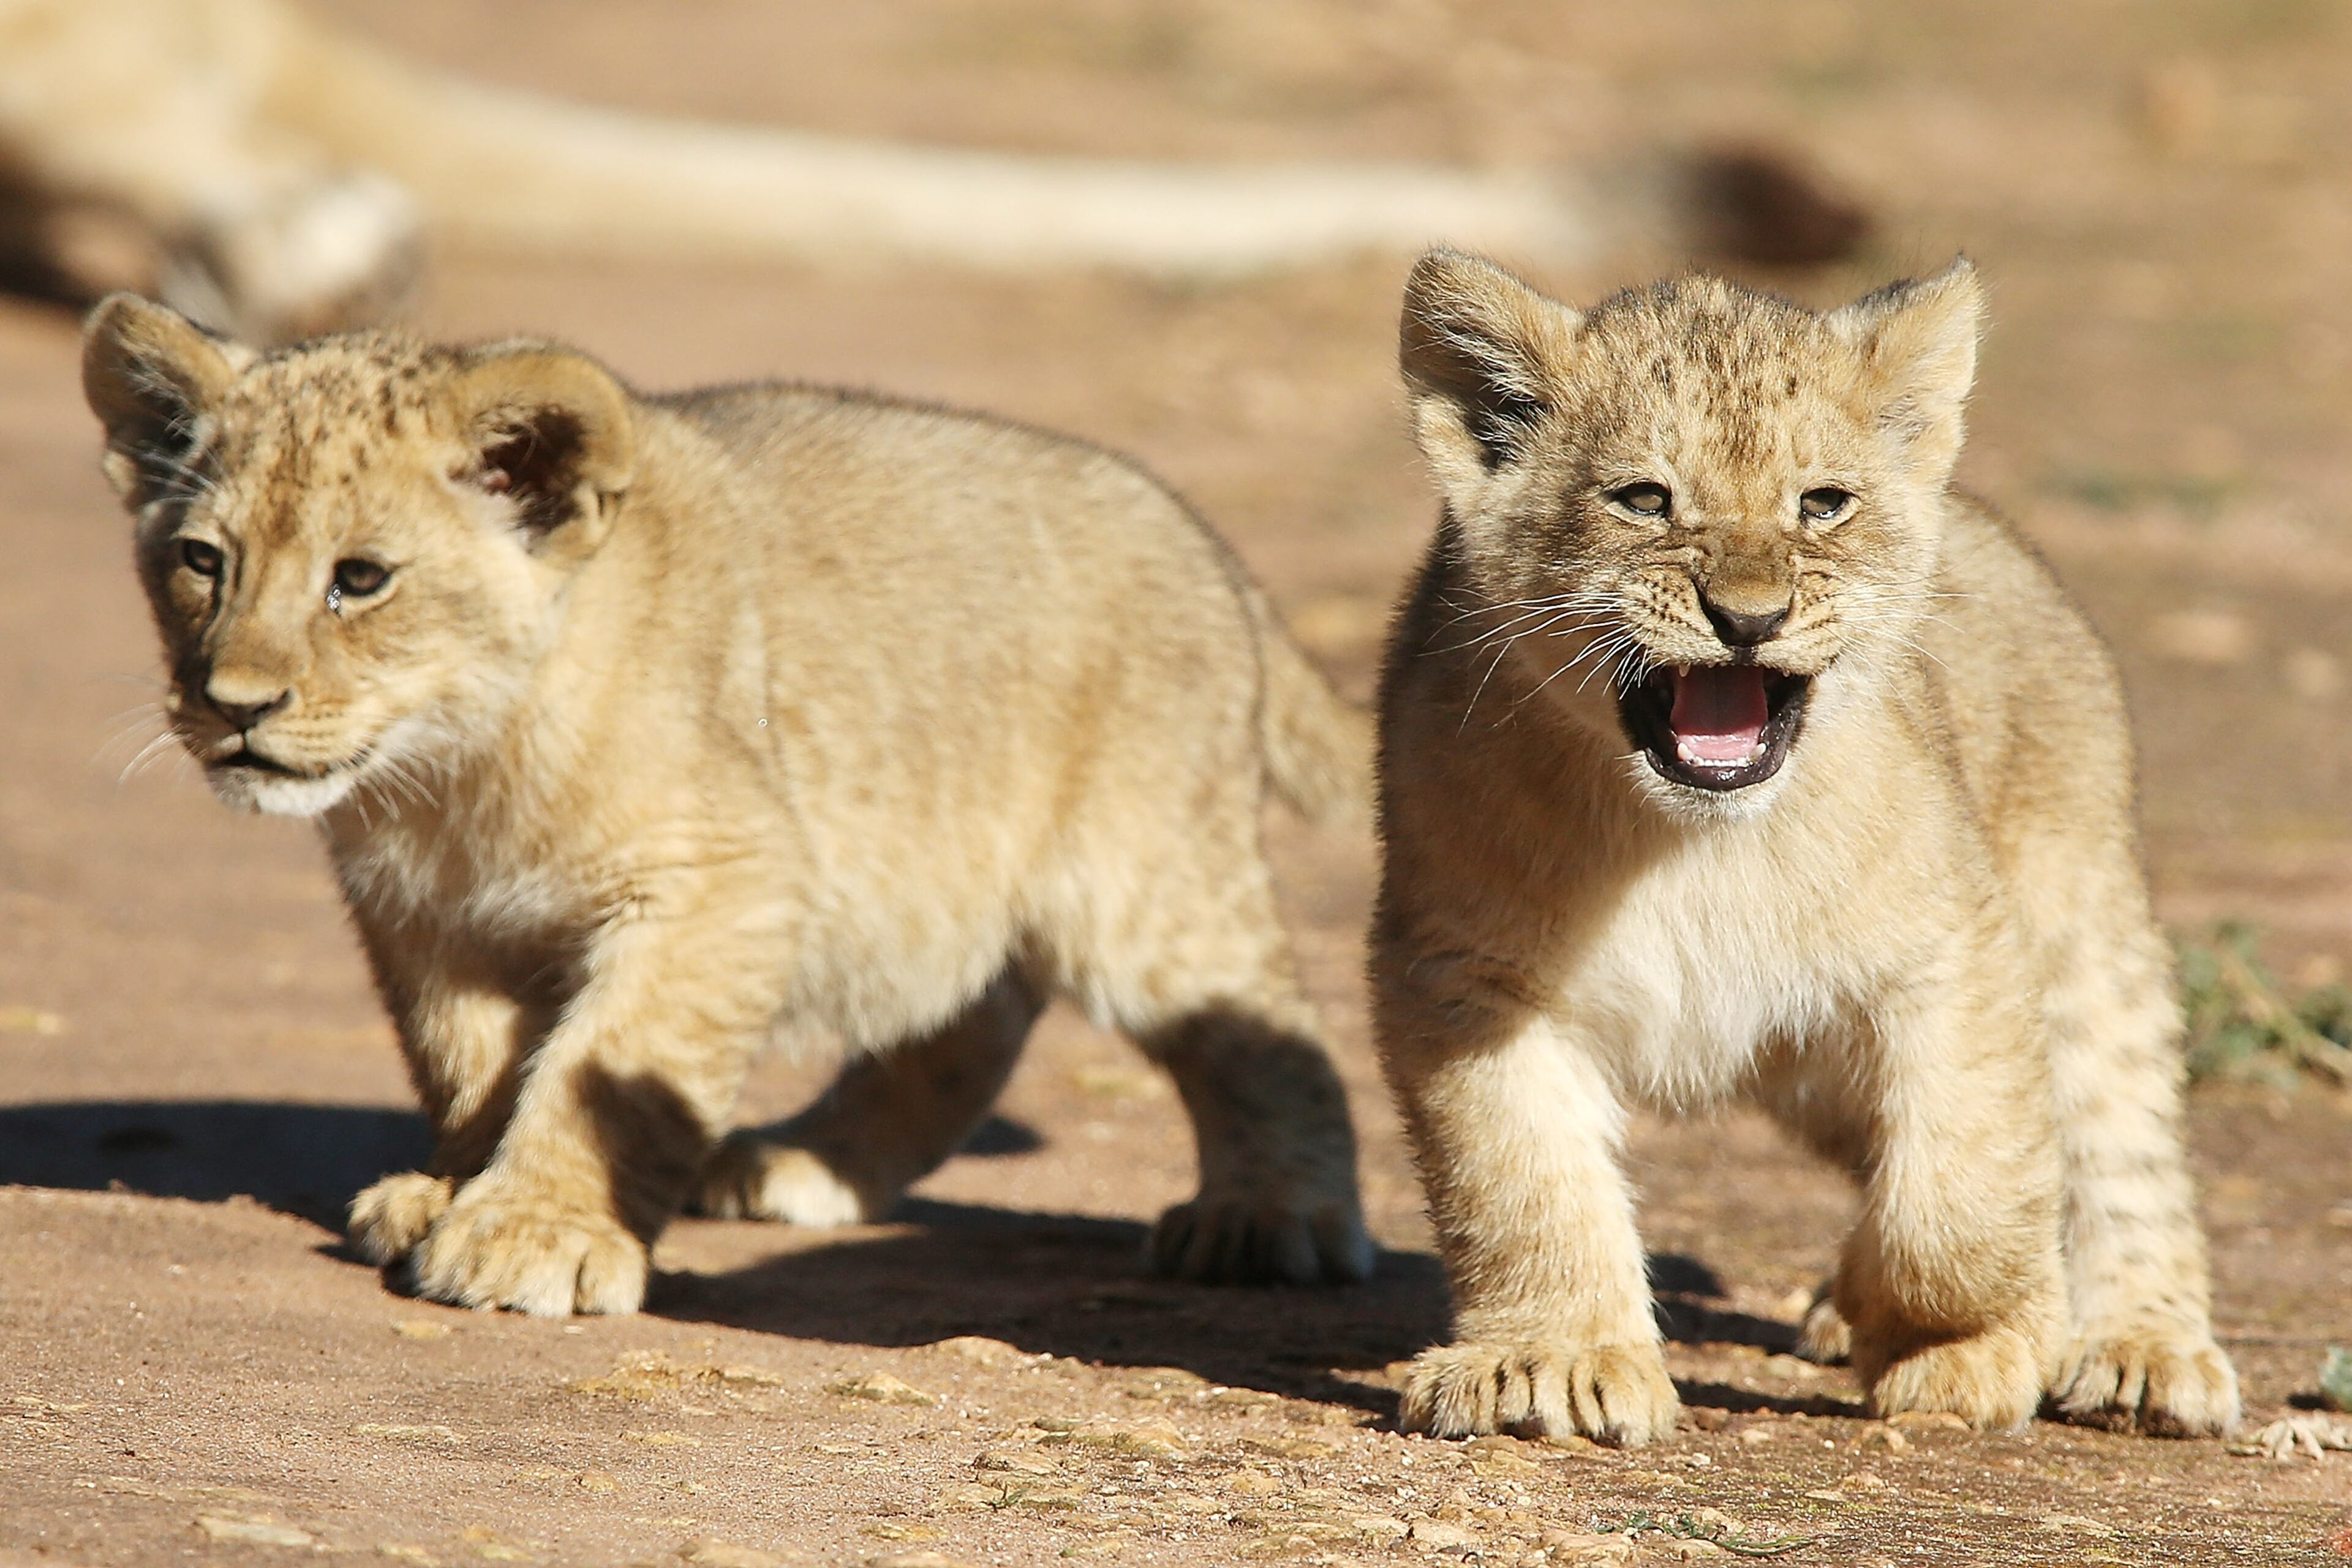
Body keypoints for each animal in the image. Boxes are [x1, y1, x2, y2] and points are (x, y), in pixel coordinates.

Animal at [81, 290, 1375, 1315]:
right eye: (203, 561)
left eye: (361, 579)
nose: (231, 706)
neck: (455, 772)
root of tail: (1210, 545)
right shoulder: (429, 922)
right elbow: (472, 1069)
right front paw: (449, 1189)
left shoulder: (724, 879)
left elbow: (605, 1066)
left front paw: (538, 1234)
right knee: (968, 1023)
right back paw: (804, 1167)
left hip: (1144, 878)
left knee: (1270, 1033)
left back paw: (1274, 1219)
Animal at [1368, 249, 2239, 1445]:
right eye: (1645, 500)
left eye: (1822, 505)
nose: (1749, 619)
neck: (1688, 844)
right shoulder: (1464, 975)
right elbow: (1521, 1181)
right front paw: (1554, 1364)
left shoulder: (1957, 954)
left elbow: (1959, 1198)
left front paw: (1951, 1336)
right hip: (1808, 1067)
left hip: (2079, 926)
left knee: (2114, 1139)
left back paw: (2141, 1352)